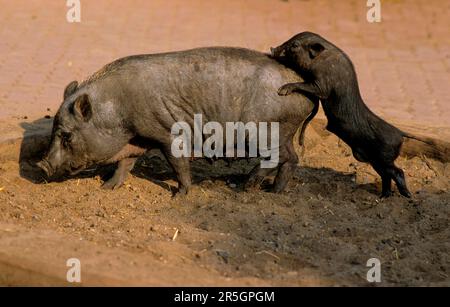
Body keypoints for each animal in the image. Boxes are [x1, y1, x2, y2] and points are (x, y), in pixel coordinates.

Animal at [37, 47, 318, 195]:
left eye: (66, 135)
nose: (42, 166)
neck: (118, 111)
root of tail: (303, 87)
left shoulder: (168, 133)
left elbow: (178, 164)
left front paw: (180, 194)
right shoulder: (138, 139)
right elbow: (125, 164)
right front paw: (107, 188)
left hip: (264, 131)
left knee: (277, 157)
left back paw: (244, 186)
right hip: (284, 132)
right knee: (292, 158)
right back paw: (275, 190)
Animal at [268, 32, 430, 199]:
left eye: (294, 45)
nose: (272, 49)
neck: (321, 60)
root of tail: (400, 133)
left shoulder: (322, 86)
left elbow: (307, 85)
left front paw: (282, 90)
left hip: (385, 157)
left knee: (398, 171)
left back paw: (407, 196)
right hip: (375, 160)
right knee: (386, 175)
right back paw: (383, 196)